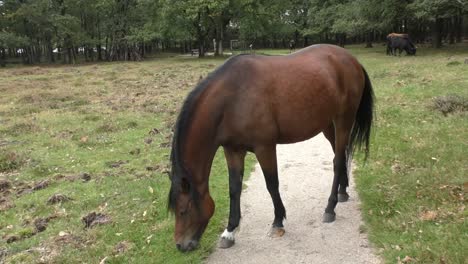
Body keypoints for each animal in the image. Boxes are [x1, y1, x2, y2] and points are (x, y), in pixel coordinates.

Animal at [166, 44, 374, 253]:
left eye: (183, 210)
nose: (180, 245)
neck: (232, 99)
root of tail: (351, 59)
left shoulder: (264, 147)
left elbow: (272, 184)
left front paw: (278, 222)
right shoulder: (233, 150)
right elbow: (234, 188)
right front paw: (229, 231)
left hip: (343, 120)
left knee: (338, 161)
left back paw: (330, 208)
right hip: (328, 125)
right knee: (341, 155)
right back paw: (342, 192)